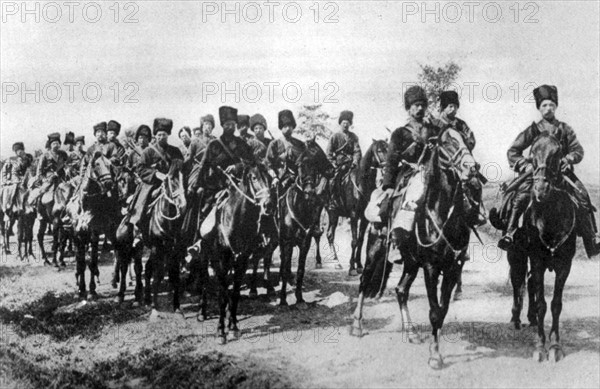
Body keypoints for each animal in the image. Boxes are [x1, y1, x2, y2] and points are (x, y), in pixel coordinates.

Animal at [66, 153, 119, 298]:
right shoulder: (78, 236)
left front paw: (92, 289)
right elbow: (81, 263)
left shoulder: (93, 235)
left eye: (110, 165)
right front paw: (81, 289)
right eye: (96, 164)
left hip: (112, 231)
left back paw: (114, 279)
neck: (85, 206)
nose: (109, 183)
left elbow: (92, 262)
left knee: (118, 253)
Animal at [199, 162, 272, 342]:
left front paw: (233, 326)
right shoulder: (221, 261)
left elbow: (235, 293)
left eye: (270, 177)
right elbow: (222, 294)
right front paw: (221, 331)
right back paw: (202, 313)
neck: (235, 220)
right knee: (204, 282)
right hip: (205, 256)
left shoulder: (242, 260)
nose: (268, 205)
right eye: (254, 177)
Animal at [326, 138, 386, 274]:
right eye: (380, 150)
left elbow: (360, 240)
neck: (362, 183)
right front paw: (352, 268)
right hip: (332, 212)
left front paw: (358, 265)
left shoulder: (364, 219)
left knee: (329, 234)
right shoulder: (353, 216)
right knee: (330, 235)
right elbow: (353, 241)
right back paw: (335, 262)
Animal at [350, 129, 480, 368]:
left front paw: (434, 349)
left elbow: (442, 310)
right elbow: (434, 312)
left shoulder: (452, 268)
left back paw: (411, 332)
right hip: (375, 249)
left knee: (401, 290)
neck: (441, 214)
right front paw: (435, 356)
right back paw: (357, 325)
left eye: (467, 140)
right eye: (446, 142)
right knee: (364, 280)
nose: (471, 167)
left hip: (410, 263)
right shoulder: (430, 267)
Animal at [496, 130, 576, 360]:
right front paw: (540, 346)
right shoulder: (537, 260)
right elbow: (542, 304)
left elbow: (556, 304)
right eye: (532, 153)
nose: (541, 189)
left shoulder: (564, 265)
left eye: (557, 153)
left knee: (530, 282)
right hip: (516, 256)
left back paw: (529, 318)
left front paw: (555, 346)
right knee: (518, 282)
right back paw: (516, 318)